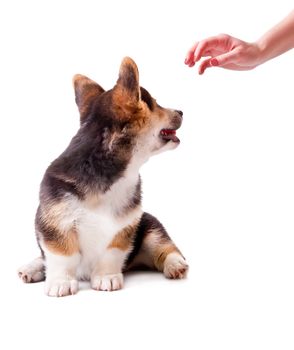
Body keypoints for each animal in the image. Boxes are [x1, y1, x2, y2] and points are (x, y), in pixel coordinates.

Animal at [18, 56, 188, 296]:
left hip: (151, 227)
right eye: (155, 104)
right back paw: (31, 268)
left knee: (166, 248)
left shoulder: (124, 227)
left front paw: (106, 277)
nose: (181, 111)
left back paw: (176, 265)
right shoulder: (55, 222)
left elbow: (111, 254)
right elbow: (62, 255)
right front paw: (61, 282)